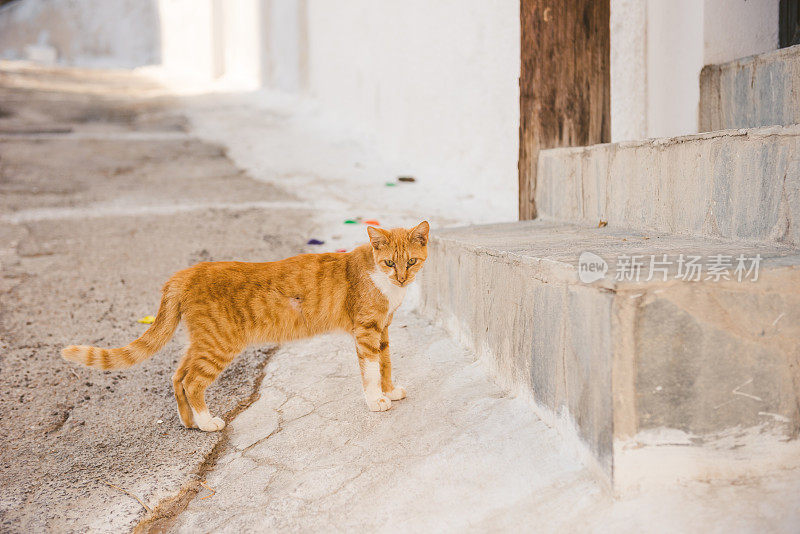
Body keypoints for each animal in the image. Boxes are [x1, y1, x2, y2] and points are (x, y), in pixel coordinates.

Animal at [62, 220, 428, 434]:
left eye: (411, 261)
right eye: (389, 263)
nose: (401, 278)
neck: (382, 280)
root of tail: (186, 272)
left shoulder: (383, 330)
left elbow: (385, 364)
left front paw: (389, 390)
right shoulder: (366, 330)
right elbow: (370, 369)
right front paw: (376, 399)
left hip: (201, 342)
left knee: (178, 376)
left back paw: (189, 422)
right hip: (219, 344)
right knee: (193, 382)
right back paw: (207, 422)